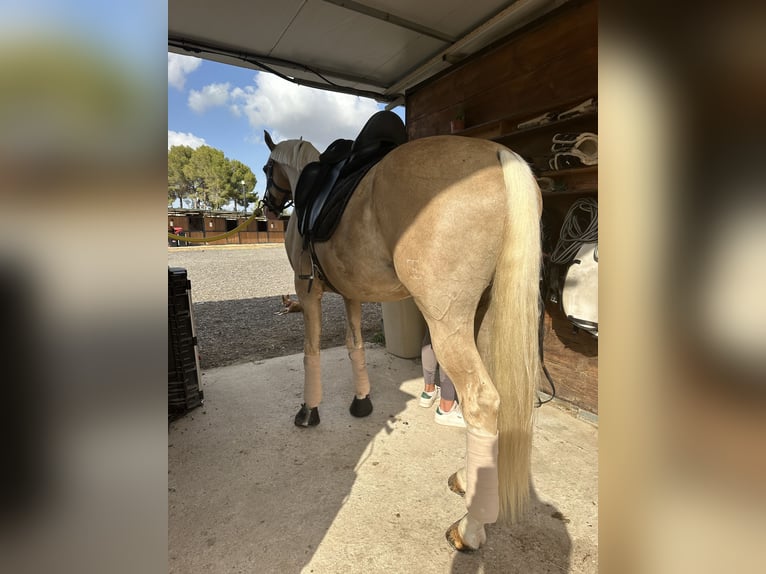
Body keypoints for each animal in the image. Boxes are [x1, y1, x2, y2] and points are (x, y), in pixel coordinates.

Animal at [260, 124, 542, 552]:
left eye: (266, 168)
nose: (267, 207)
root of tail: (499, 155)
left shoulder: (307, 292)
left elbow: (311, 352)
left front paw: (309, 411)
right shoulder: (353, 294)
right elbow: (355, 345)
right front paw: (362, 401)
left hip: (448, 324)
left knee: (482, 402)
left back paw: (470, 528)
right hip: (489, 316)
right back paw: (469, 479)